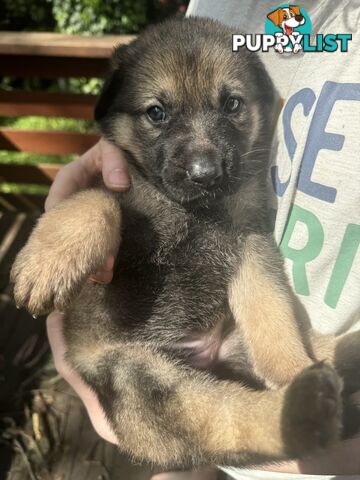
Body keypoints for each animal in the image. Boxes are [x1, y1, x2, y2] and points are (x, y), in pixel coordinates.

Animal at [10, 17, 360, 468]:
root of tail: (207, 353)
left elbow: (273, 318)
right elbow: (96, 199)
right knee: (226, 416)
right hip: (142, 380)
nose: (205, 173)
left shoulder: (249, 246)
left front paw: (291, 366)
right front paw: (48, 262)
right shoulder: (121, 206)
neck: (196, 212)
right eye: (157, 112)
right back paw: (305, 406)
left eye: (232, 105)